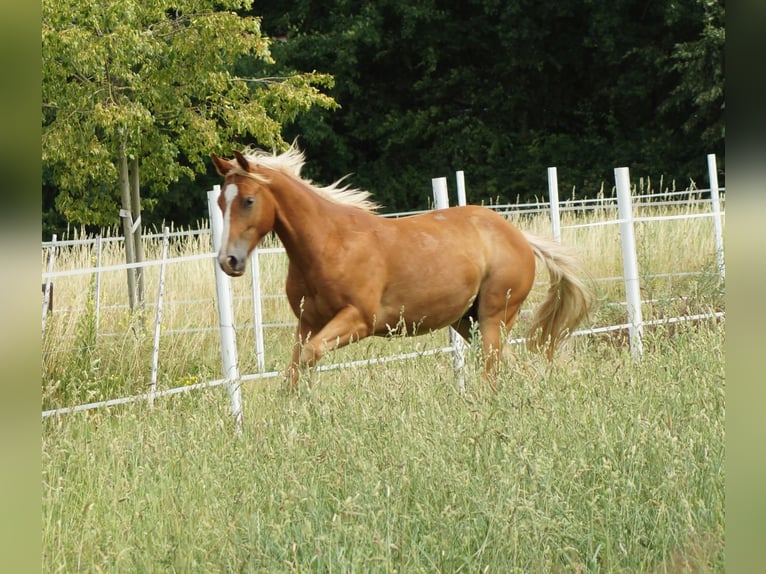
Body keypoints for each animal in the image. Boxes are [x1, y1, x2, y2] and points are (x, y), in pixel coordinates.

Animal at [210, 144, 592, 389]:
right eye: (220, 203)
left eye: (248, 200)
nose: (229, 261)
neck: (328, 244)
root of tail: (519, 237)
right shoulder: (307, 324)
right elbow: (294, 371)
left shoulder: (359, 320)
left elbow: (309, 356)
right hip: (469, 322)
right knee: (512, 364)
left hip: (492, 318)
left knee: (494, 368)